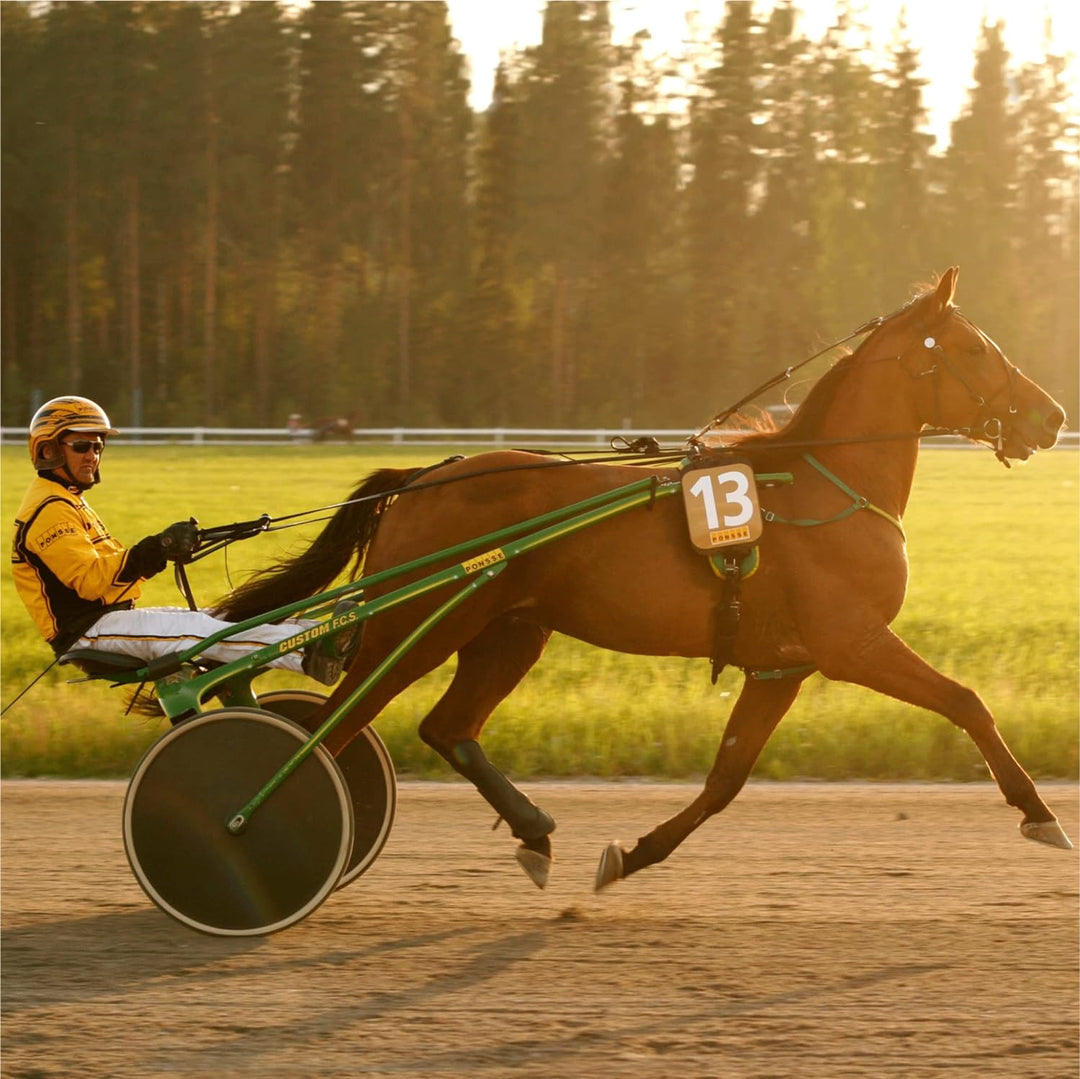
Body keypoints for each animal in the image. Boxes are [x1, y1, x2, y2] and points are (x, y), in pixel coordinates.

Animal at [216, 267, 1071, 889]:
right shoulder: (851, 642)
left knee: (443, 726)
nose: (1052, 415)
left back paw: (533, 831)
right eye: (975, 348)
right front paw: (1039, 812)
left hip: (509, 630)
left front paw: (631, 853)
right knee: (335, 727)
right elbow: (968, 702)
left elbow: (726, 778)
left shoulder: (781, 665)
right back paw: (251, 827)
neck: (821, 484)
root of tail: (428, 474)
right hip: (419, 624)